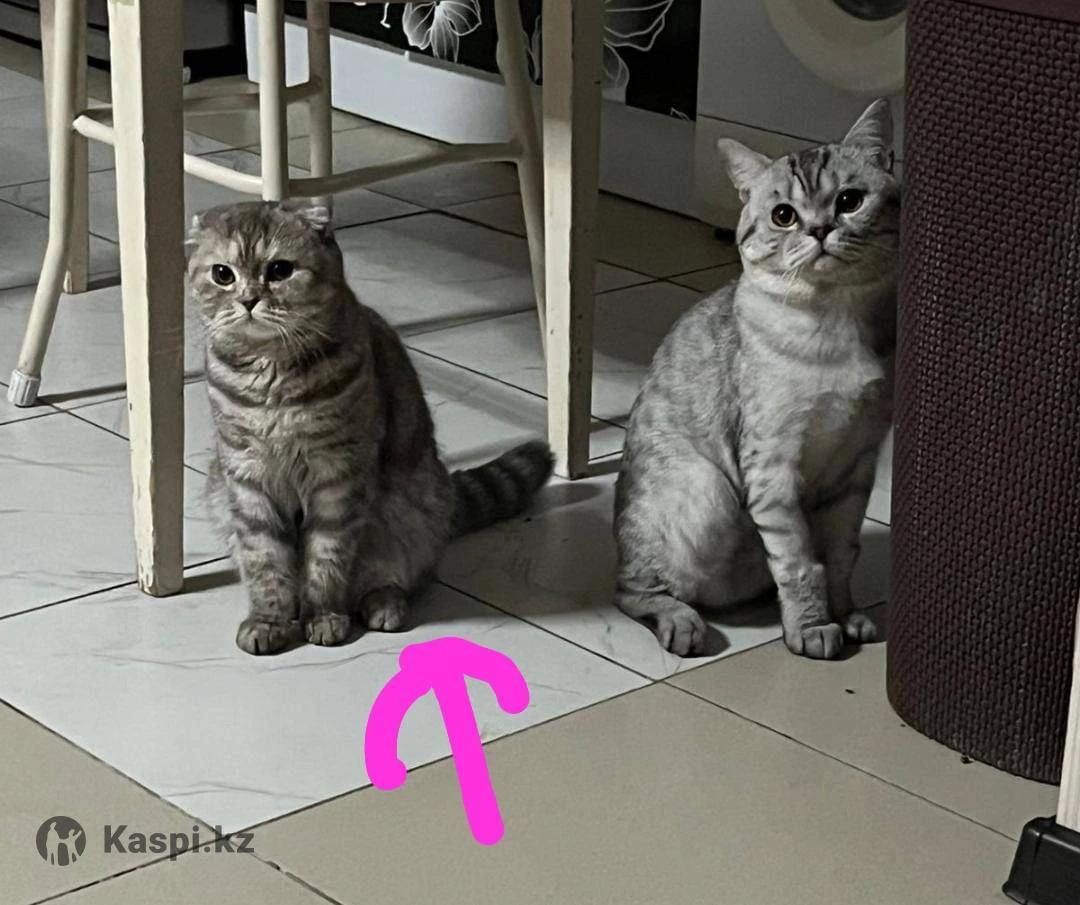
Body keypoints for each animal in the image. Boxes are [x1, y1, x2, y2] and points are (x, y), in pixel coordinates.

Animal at [187, 200, 553, 655]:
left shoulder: (337, 475)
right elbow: (266, 562)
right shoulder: (248, 478)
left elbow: (326, 558)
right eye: (223, 274)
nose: (249, 299)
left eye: (279, 270)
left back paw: (382, 605)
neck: (271, 376)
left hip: (408, 512)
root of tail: (449, 491)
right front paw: (269, 620)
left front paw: (324, 617)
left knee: (397, 575)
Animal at [613, 99, 898, 660]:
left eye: (849, 201)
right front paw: (812, 628)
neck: (838, 323)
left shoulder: (858, 463)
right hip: (708, 494)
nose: (819, 230)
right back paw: (682, 622)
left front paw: (846, 615)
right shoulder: (773, 465)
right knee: (635, 589)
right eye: (783, 215)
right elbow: (798, 561)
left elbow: (840, 555)